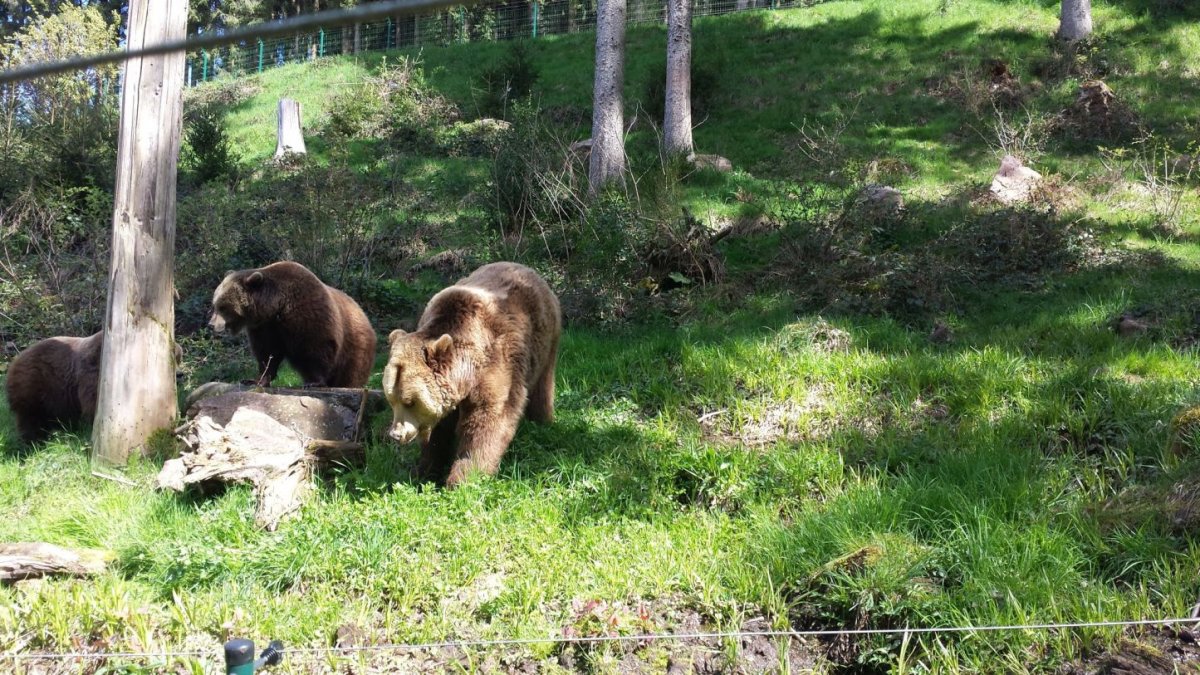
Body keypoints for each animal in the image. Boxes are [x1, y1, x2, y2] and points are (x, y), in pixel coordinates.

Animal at [206, 258, 374, 386]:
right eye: (214, 305)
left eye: (223, 307)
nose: (211, 325)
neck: (276, 308)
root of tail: (362, 312)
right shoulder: (264, 327)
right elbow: (267, 353)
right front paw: (256, 379)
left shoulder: (307, 315)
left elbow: (316, 347)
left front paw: (314, 381)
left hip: (355, 345)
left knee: (351, 372)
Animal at [384, 260, 561, 485]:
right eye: (391, 399)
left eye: (409, 402)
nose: (396, 434)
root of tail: (526, 268)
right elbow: (439, 432)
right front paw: (424, 469)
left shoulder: (495, 365)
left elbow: (487, 421)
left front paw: (463, 478)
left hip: (545, 340)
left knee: (542, 385)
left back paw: (542, 421)